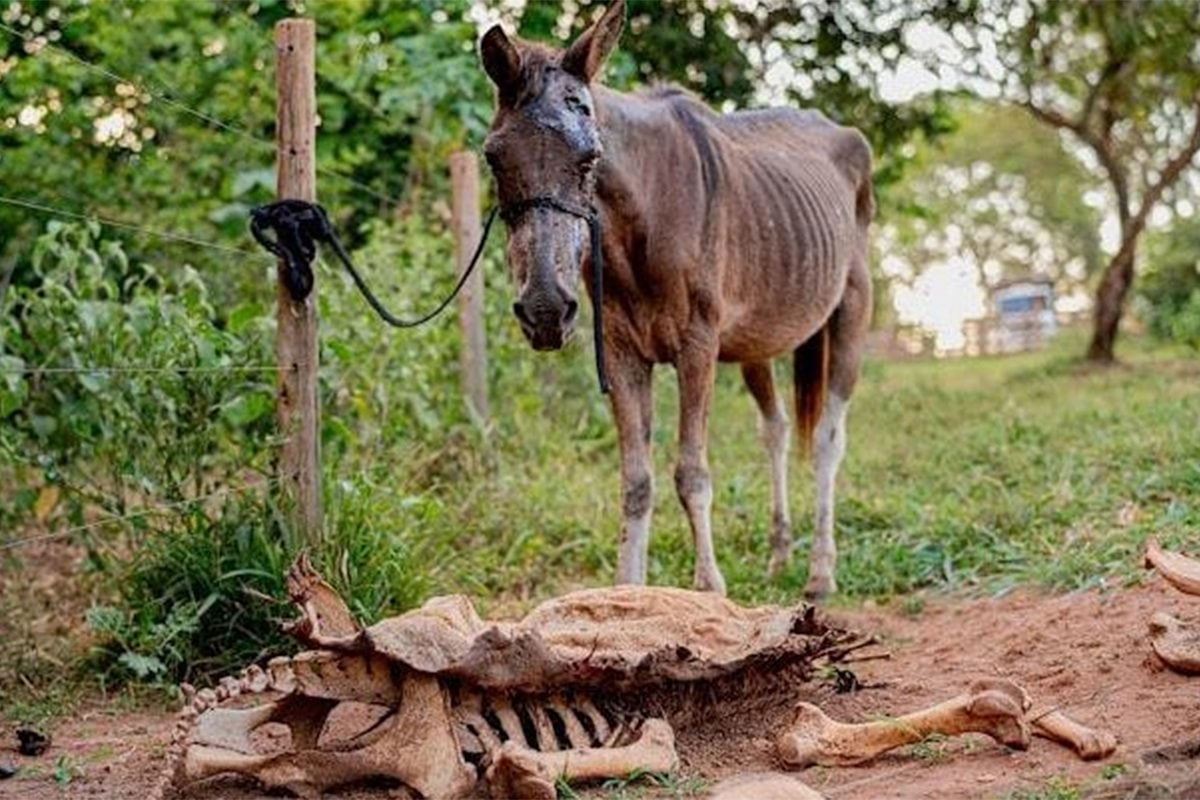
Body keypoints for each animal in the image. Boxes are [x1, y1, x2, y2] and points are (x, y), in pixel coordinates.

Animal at [477, 0, 873, 597]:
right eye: (494, 159)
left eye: (590, 158)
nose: (545, 310)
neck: (645, 220)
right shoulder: (622, 354)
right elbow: (636, 481)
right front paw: (627, 595)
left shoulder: (697, 346)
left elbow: (692, 473)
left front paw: (708, 590)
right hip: (756, 342)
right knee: (776, 429)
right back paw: (780, 555)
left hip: (849, 312)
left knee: (829, 437)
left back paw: (821, 572)